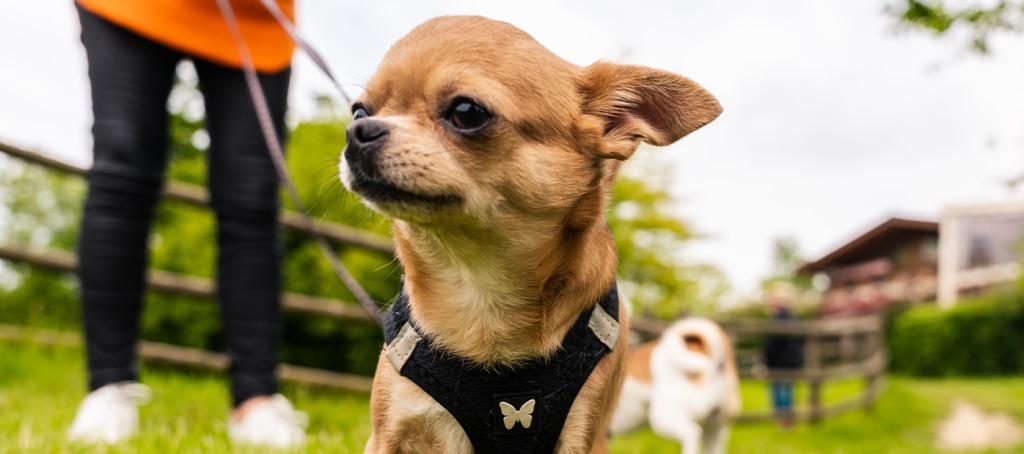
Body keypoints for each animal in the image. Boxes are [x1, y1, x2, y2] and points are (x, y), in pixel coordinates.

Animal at [339, 16, 724, 452]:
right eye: (358, 112)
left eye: (467, 112)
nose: (358, 132)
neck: (482, 292)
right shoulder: (389, 433)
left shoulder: (584, 434)